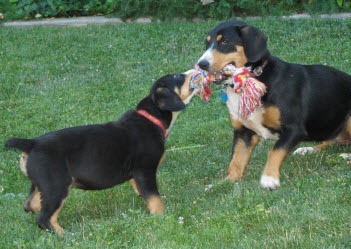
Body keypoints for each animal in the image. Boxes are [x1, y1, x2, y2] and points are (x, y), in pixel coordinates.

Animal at [5, 70, 199, 235]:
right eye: (177, 77)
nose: (195, 71)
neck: (151, 118)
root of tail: (32, 143)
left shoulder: (137, 175)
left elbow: (142, 191)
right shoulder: (145, 170)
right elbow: (154, 197)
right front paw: (161, 216)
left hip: (42, 184)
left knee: (30, 205)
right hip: (57, 185)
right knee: (44, 218)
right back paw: (66, 235)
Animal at [198, 20, 351, 190]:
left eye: (225, 41)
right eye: (207, 43)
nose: (201, 64)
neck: (252, 80)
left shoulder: (294, 129)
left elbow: (274, 150)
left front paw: (269, 178)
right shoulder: (243, 133)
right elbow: (236, 160)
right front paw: (226, 182)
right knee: (331, 140)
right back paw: (308, 149)